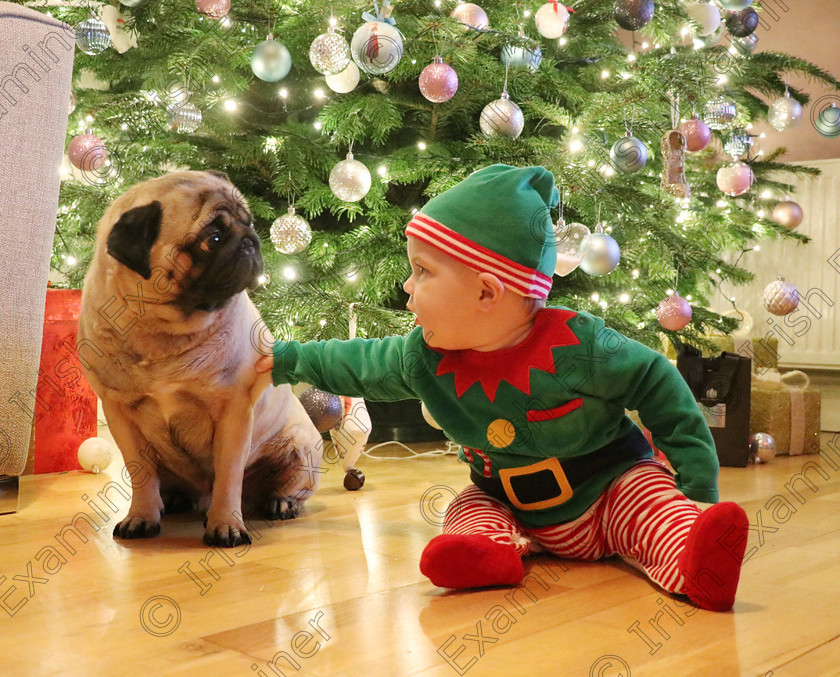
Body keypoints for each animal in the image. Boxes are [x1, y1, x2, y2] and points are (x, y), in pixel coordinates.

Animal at [79, 172, 322, 548]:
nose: (250, 240)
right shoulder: (120, 414)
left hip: (301, 450)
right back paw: (173, 500)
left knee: (284, 488)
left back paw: (280, 502)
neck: (159, 331)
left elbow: (228, 476)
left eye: (249, 221)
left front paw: (226, 525)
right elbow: (141, 474)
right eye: (214, 238)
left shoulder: (234, 414)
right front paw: (141, 516)